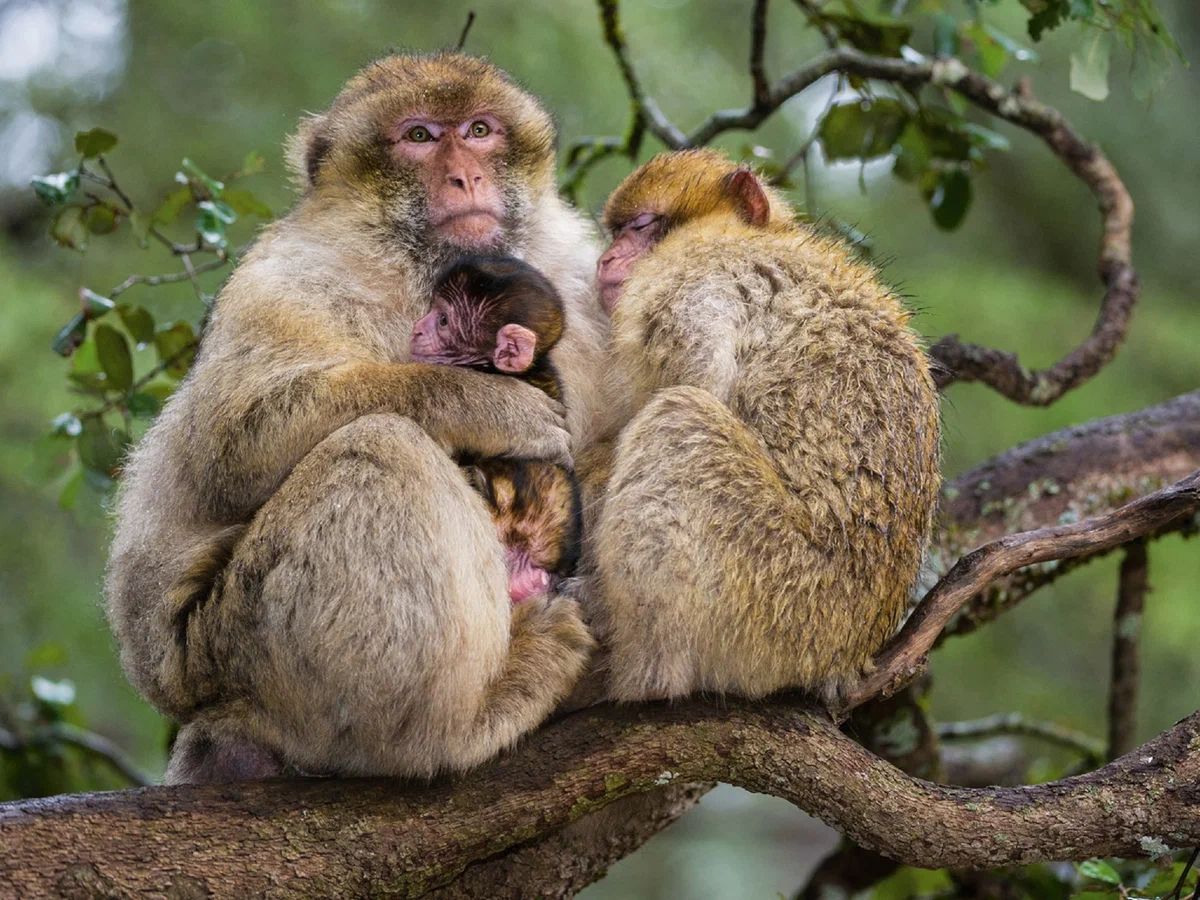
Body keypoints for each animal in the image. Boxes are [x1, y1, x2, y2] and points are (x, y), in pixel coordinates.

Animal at [585, 151, 940, 710]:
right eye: (615, 232)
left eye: (640, 227)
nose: (607, 260)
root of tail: (848, 654)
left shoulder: (688, 273)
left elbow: (698, 377)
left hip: (782, 598)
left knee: (679, 419)